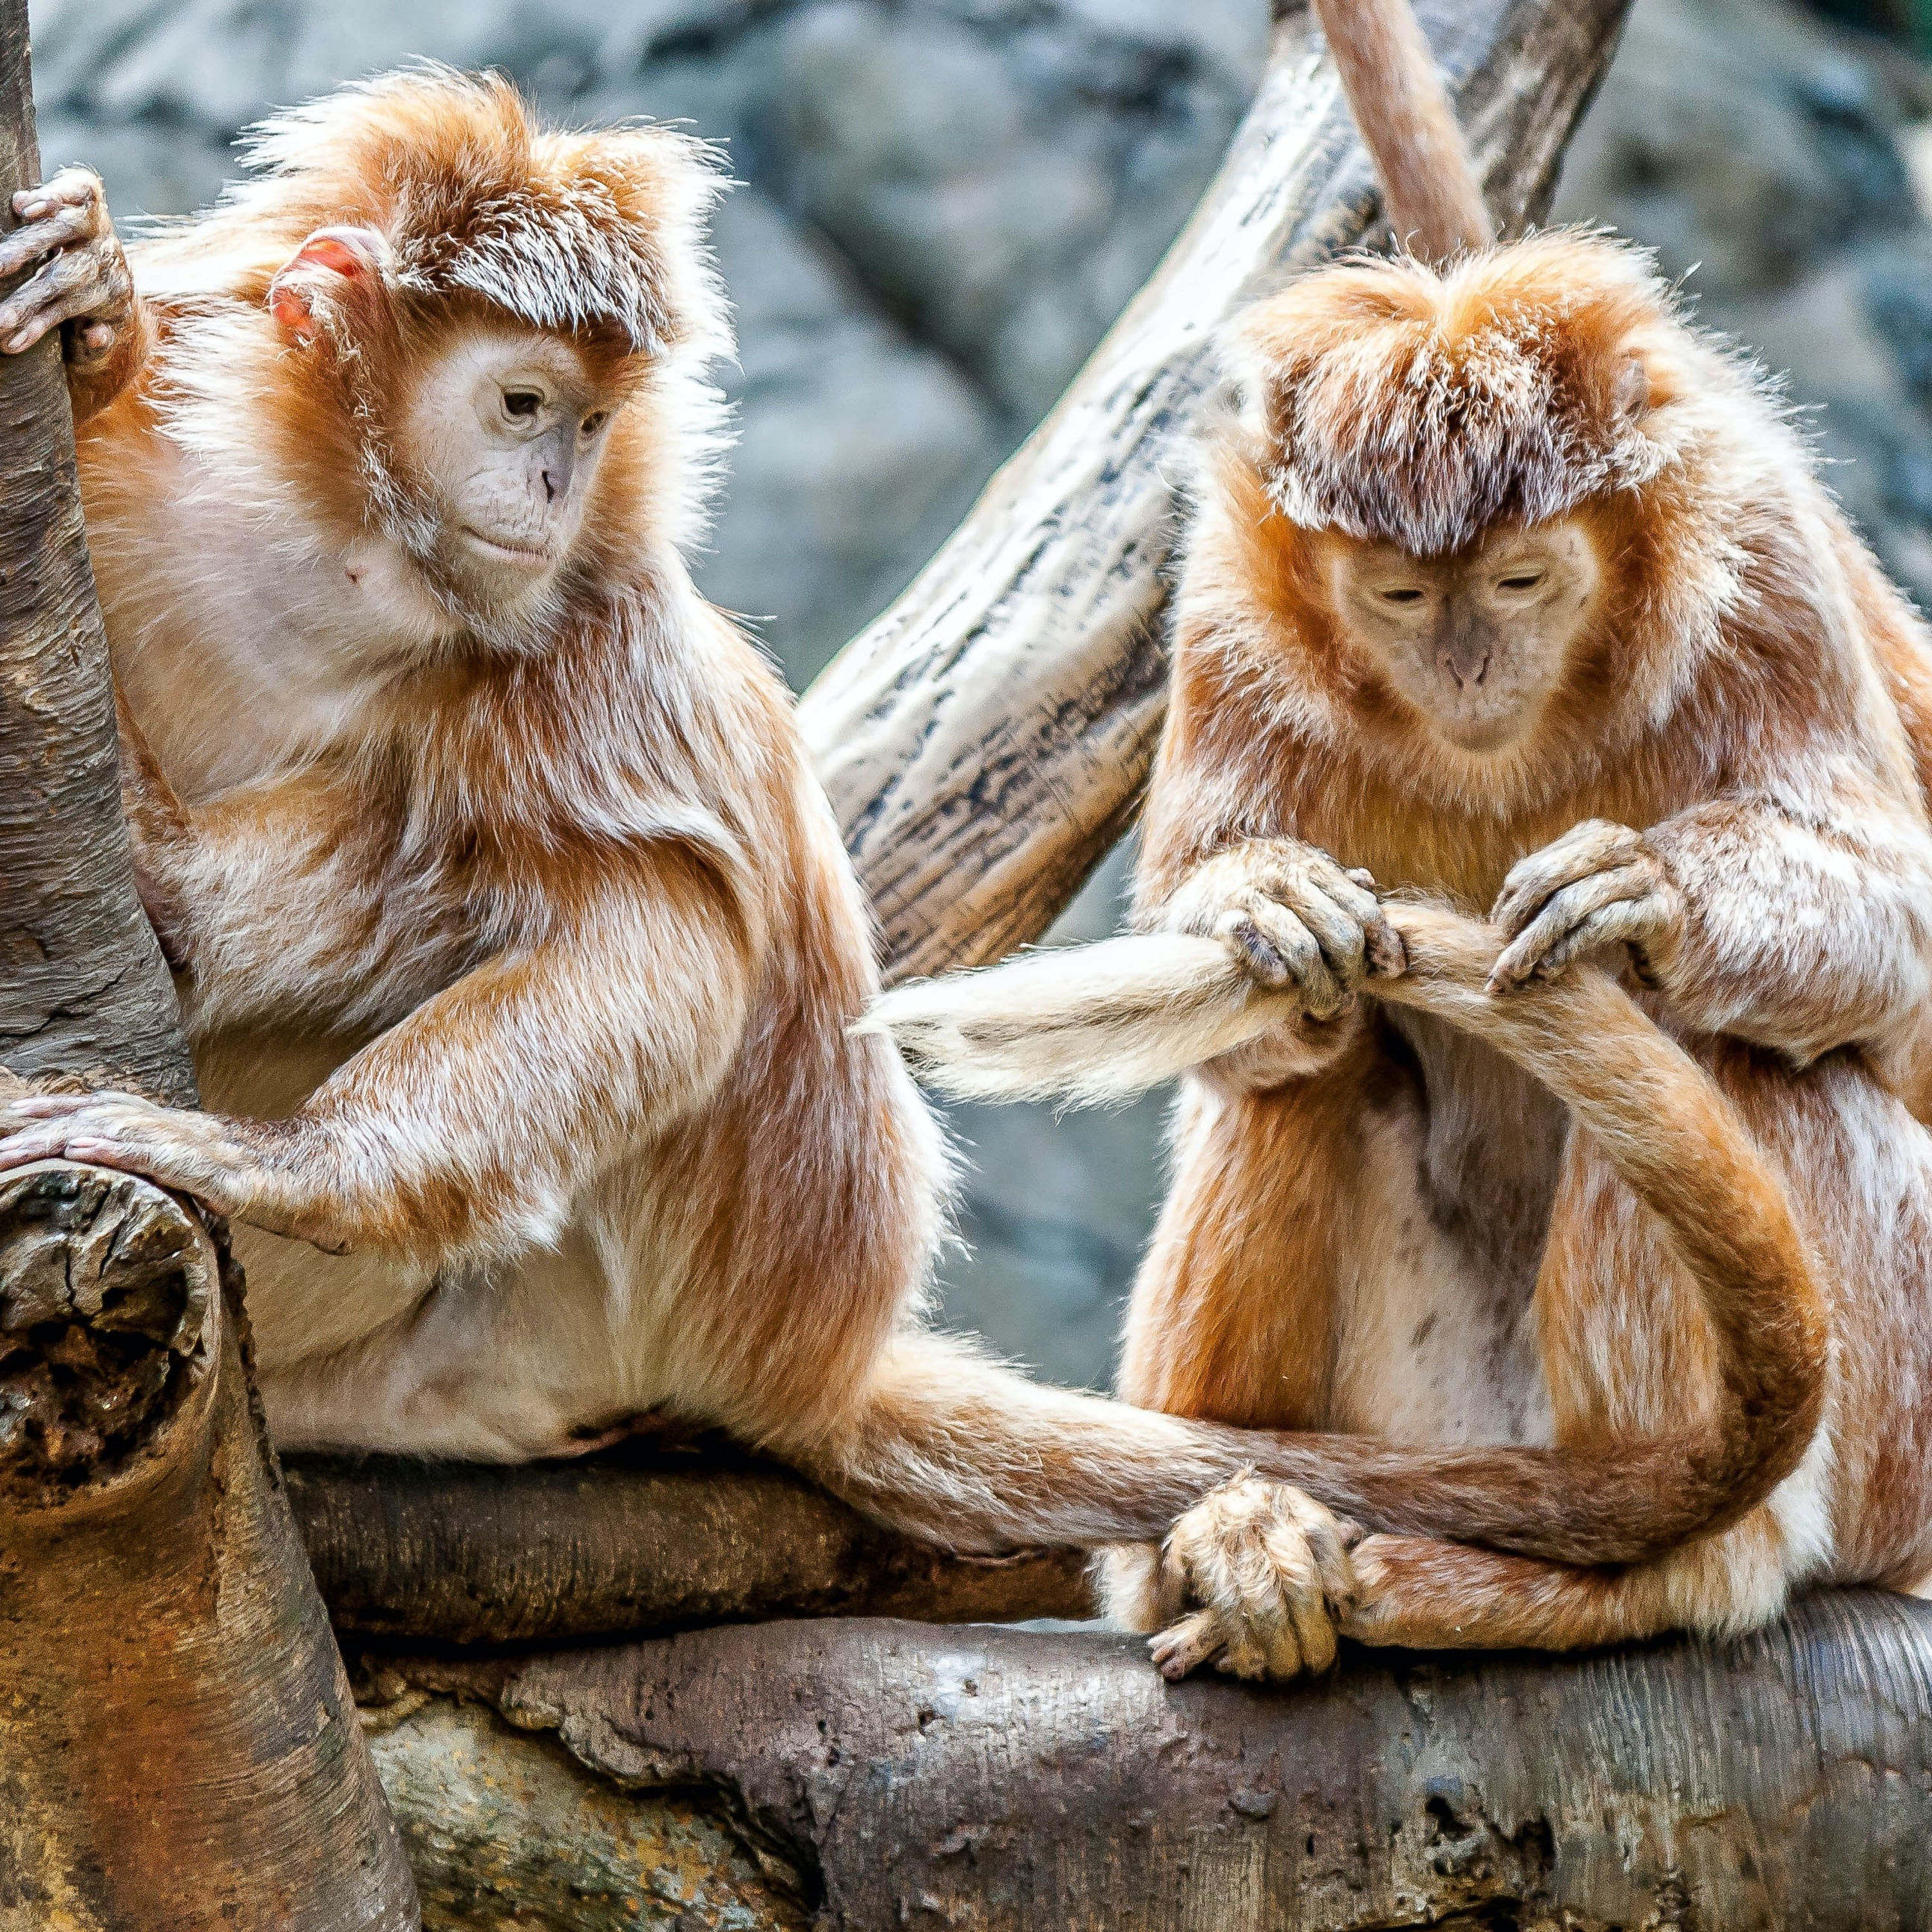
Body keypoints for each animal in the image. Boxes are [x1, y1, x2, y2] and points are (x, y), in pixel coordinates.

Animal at [0, 69, 1836, 1601]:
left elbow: (659, 939)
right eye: (522, 404)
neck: (340, 554)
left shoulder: (581, 630)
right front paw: (90, 319)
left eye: (583, 425)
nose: (550, 489)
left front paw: (278, 1160)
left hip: (567, 1314)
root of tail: (800, 1355)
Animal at [872, 0, 1932, 1681]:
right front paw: (1263, 904)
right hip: (1422, 1409)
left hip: (1888, 1451)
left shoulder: (1759, 541)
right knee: (1309, 1061)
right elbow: (1251, 969)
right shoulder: (1224, 600)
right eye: (1397, 595)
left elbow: (1898, 935)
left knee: (1755, 1056)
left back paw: (1666, 1568)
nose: (1467, 666)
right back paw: (1228, 1532)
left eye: (1517, 582)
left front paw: (1645, 892)